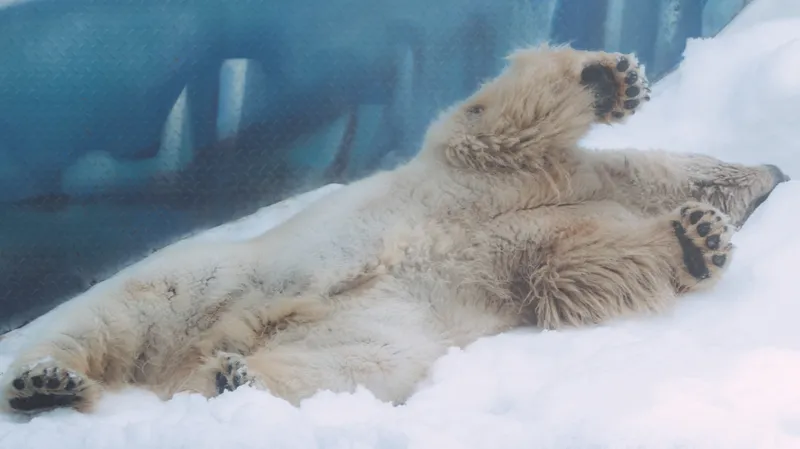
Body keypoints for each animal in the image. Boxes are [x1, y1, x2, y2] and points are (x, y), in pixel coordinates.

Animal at [0, 44, 789, 414]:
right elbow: (503, 122)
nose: (780, 169)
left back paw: (233, 377)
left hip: (373, 330)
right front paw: (615, 80)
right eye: (742, 179)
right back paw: (44, 378)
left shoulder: (541, 238)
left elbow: (570, 273)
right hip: (205, 274)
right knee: (114, 312)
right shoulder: (493, 169)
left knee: (352, 362)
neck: (591, 186)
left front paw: (697, 240)